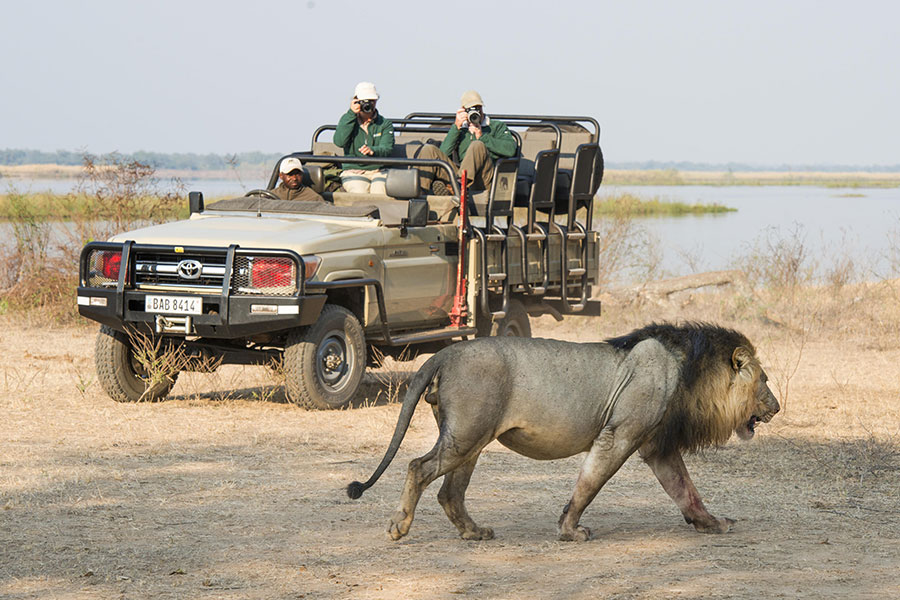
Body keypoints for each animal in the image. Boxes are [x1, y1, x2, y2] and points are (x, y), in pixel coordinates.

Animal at [346, 326, 780, 540]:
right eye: (764, 380)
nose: (776, 407)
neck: (687, 370)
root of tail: (446, 351)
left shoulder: (657, 447)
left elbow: (686, 490)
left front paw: (711, 524)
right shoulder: (619, 435)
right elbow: (589, 483)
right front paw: (570, 530)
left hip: (470, 439)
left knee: (450, 491)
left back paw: (474, 533)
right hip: (466, 435)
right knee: (418, 468)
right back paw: (399, 527)